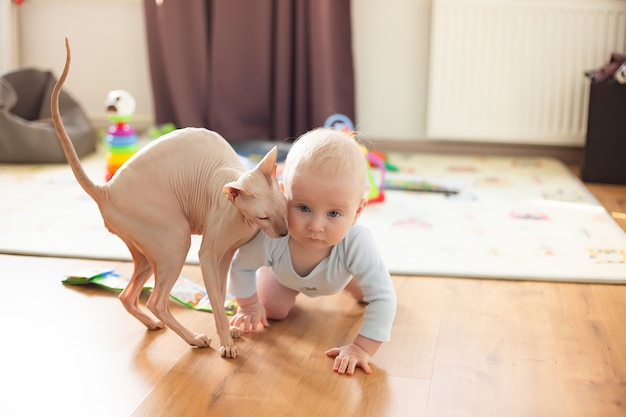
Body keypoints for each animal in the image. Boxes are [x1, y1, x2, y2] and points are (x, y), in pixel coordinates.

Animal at [51, 38, 288, 358]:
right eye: (264, 216)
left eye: (283, 209)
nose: (284, 233)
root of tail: (106, 191)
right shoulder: (209, 255)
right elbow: (216, 301)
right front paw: (226, 343)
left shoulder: (225, 256)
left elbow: (220, 294)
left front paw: (231, 330)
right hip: (175, 239)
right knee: (156, 301)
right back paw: (193, 338)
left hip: (147, 253)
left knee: (127, 296)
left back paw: (153, 324)